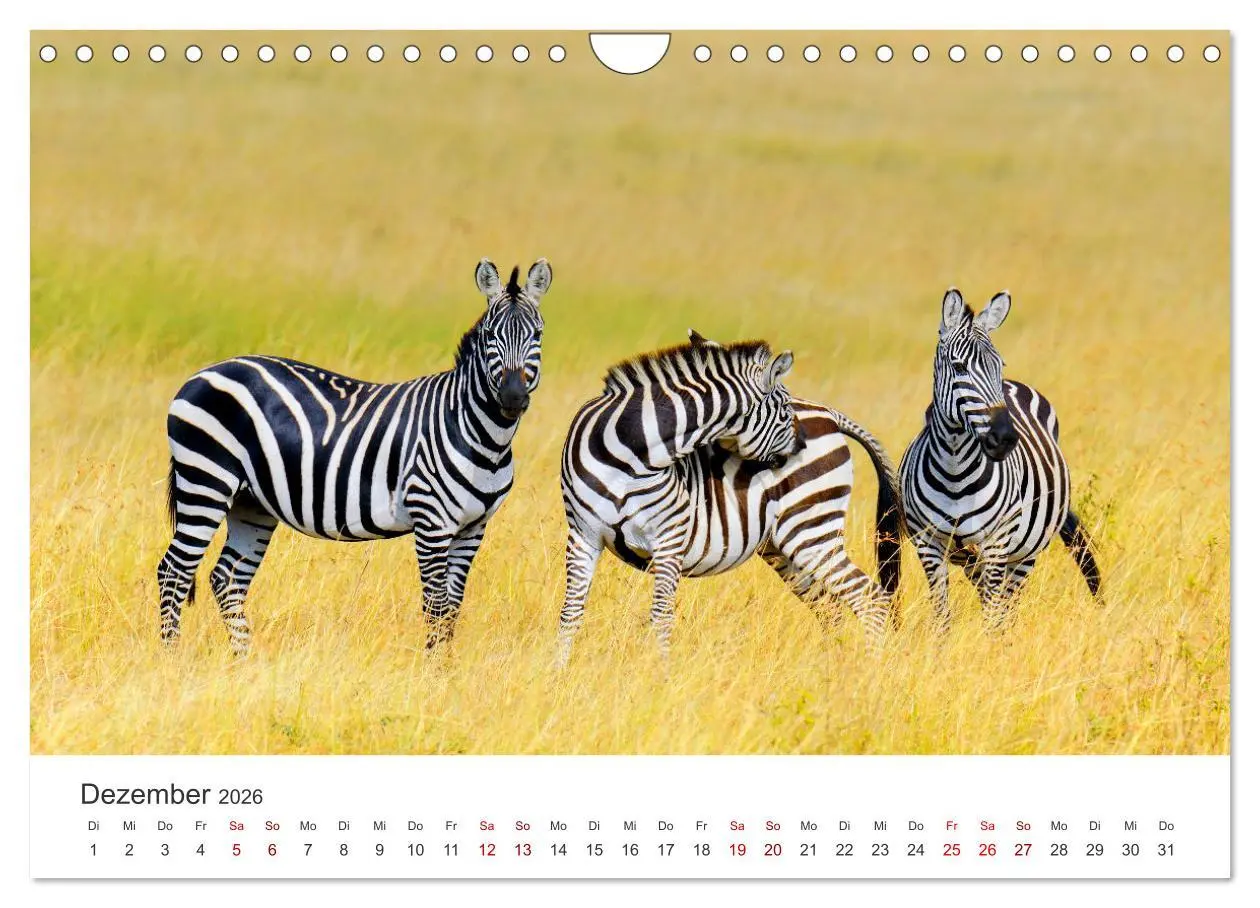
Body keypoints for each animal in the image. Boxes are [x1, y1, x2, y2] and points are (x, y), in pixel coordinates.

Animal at [156, 257, 552, 654]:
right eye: (490, 337)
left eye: (537, 336)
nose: (513, 398)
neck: (481, 437)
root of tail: (203, 373)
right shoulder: (431, 522)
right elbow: (435, 605)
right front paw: (432, 667)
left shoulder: (473, 528)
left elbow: (453, 606)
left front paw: (446, 664)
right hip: (206, 481)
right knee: (174, 570)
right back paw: (172, 656)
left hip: (251, 503)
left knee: (227, 578)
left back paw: (244, 660)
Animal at [557, 330, 903, 665]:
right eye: (784, 414)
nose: (801, 448)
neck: (630, 456)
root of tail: (828, 414)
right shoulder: (583, 535)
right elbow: (570, 613)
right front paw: (559, 674)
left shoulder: (669, 538)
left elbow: (661, 617)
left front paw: (660, 675)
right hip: (784, 547)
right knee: (831, 608)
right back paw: (837, 671)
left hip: (810, 530)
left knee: (869, 598)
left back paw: (870, 671)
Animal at [898, 287, 1102, 634]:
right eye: (958, 367)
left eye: (999, 365)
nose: (1005, 438)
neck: (955, 474)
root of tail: (1016, 385)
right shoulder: (929, 543)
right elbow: (942, 616)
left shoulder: (996, 542)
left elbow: (993, 617)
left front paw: (989, 647)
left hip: (1025, 551)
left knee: (1007, 604)